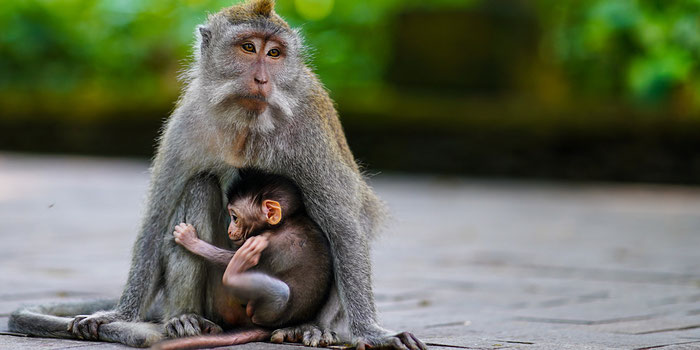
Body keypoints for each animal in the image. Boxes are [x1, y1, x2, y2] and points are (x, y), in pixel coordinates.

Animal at [9, 0, 426, 348]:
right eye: (248, 48)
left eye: (274, 53)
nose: (262, 79)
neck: (247, 120)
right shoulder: (186, 124)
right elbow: (156, 220)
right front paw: (117, 314)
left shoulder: (311, 130)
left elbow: (345, 227)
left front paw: (371, 332)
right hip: (219, 301)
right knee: (198, 186)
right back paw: (185, 319)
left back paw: (309, 327)